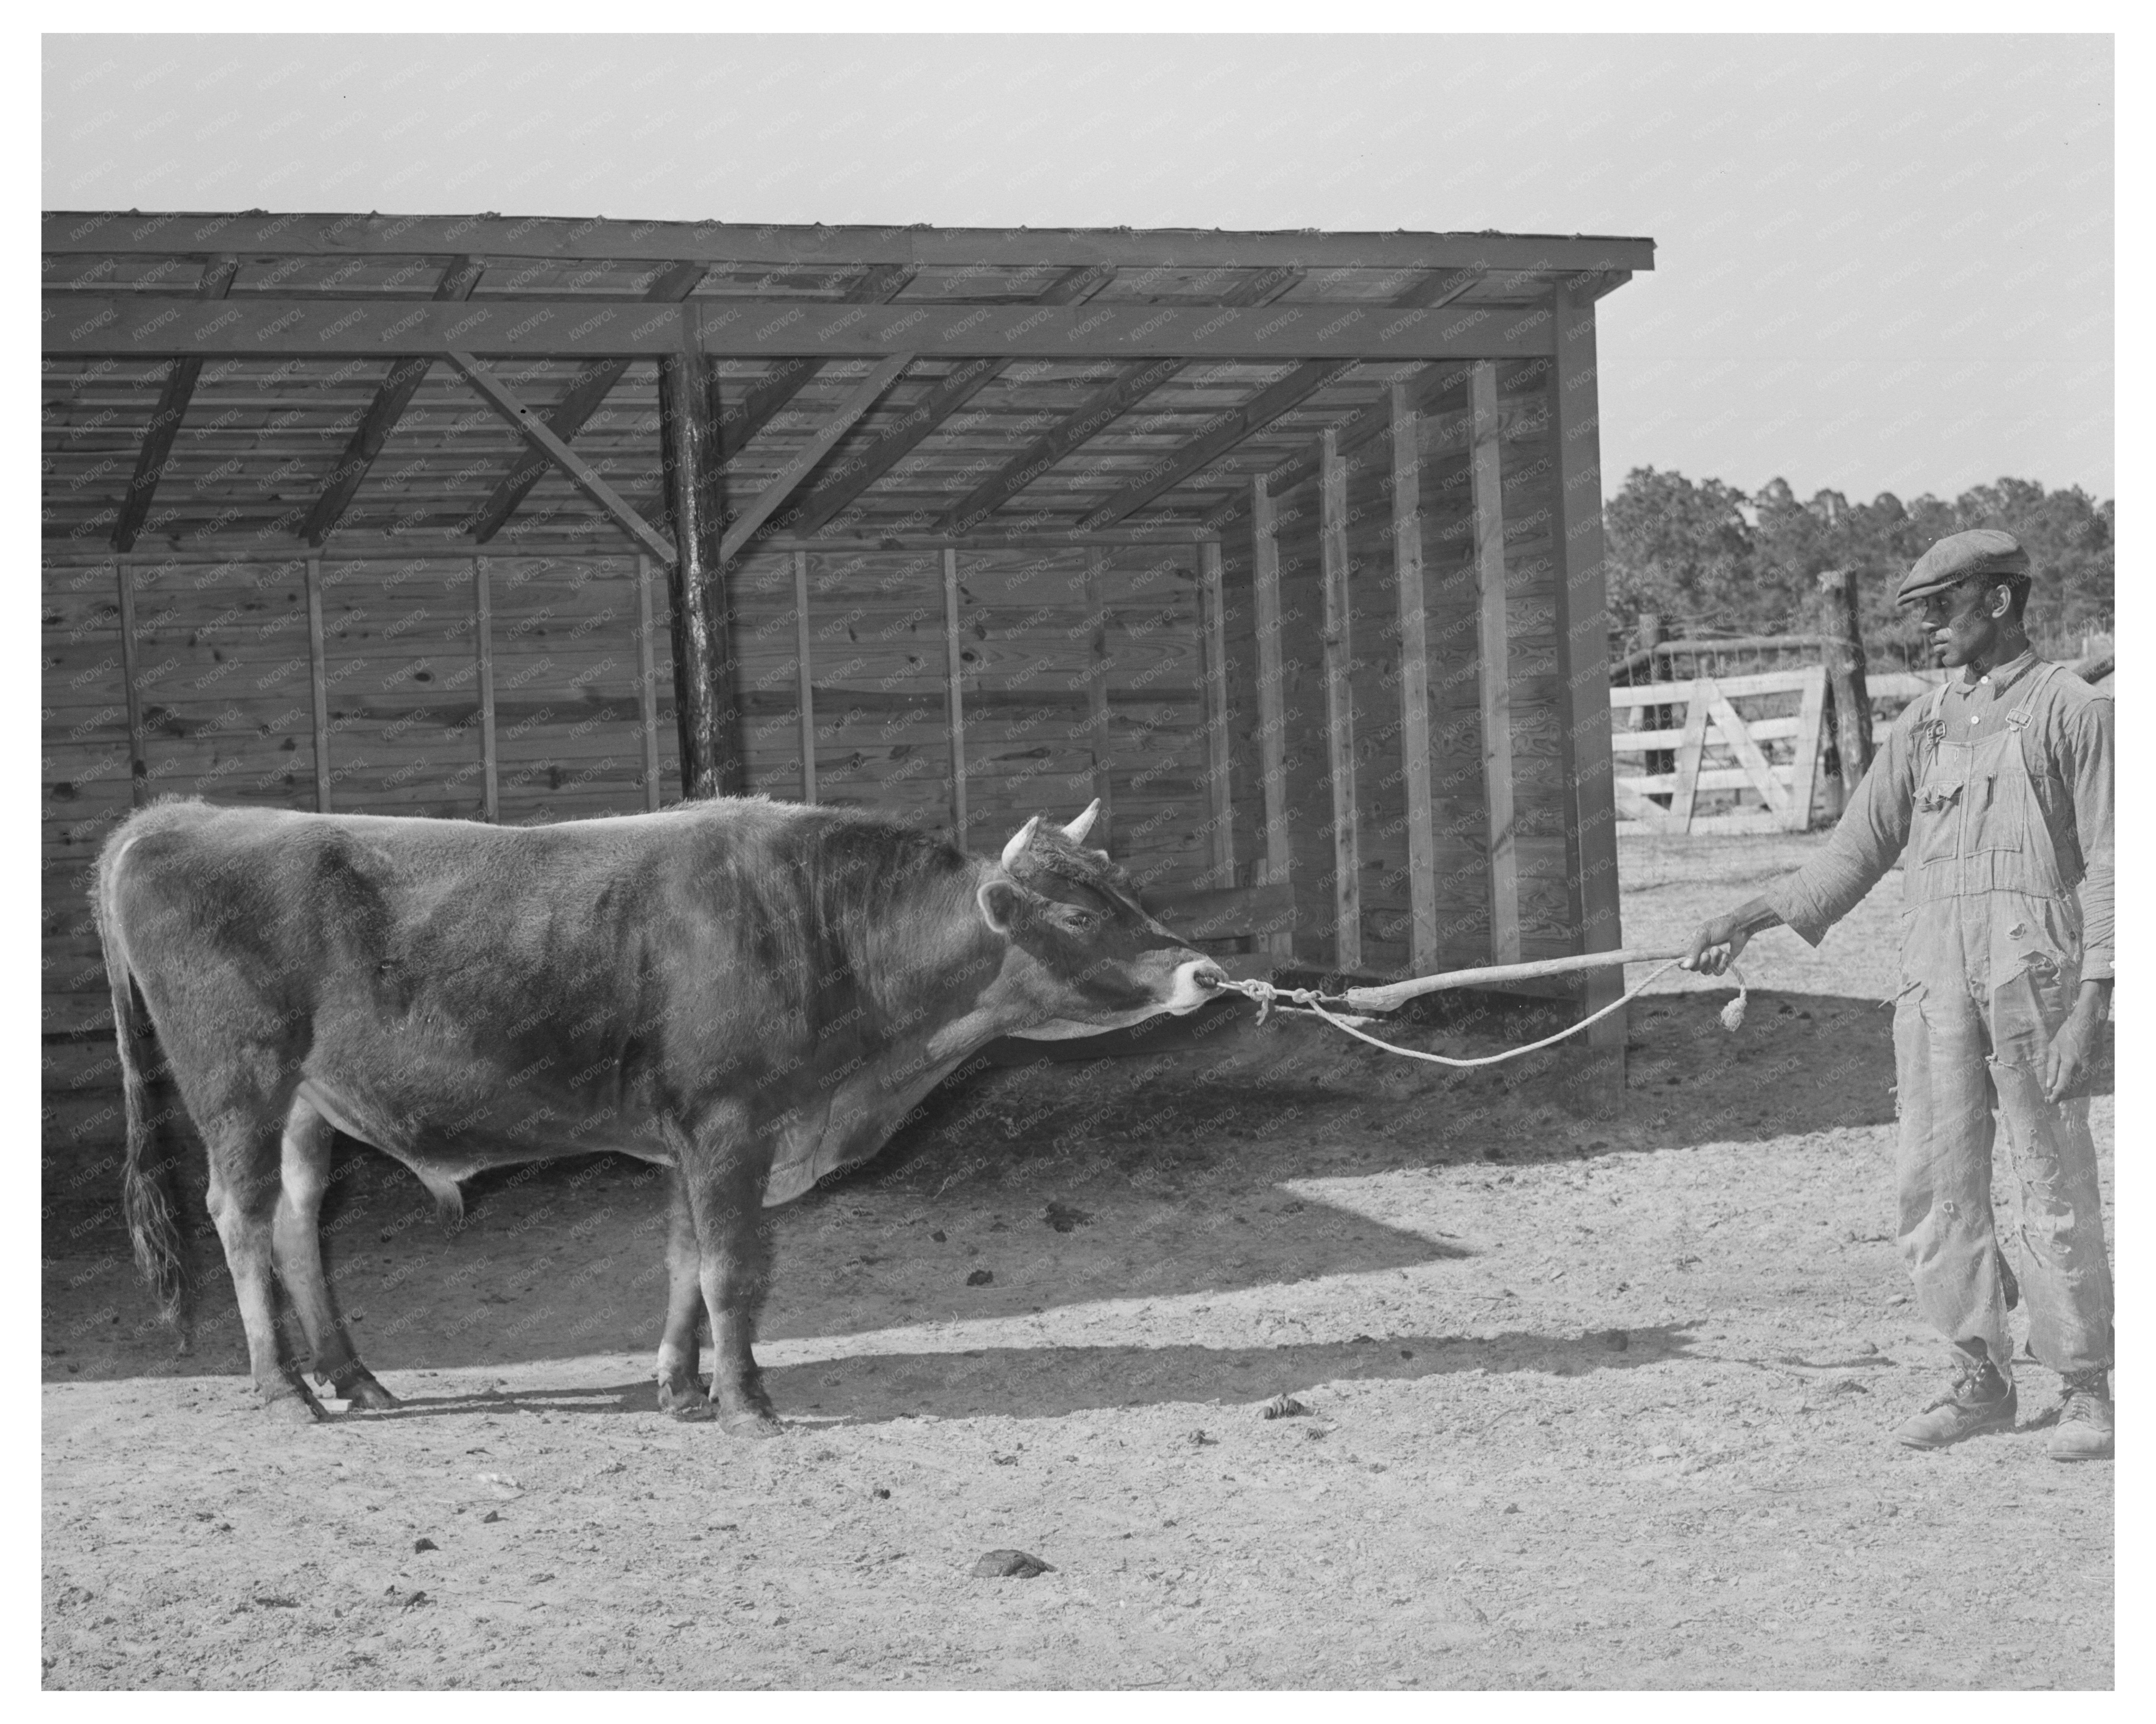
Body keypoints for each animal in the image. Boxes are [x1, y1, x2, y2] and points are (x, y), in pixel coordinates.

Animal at [95, 794, 1224, 1434]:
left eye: (1124, 884)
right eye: (1075, 911)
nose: (1206, 971)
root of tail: (178, 816)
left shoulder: (701, 1135)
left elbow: (685, 1259)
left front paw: (681, 1386)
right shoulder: (727, 1124)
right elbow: (728, 1267)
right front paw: (743, 1401)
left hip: (302, 1098)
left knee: (294, 1215)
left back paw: (351, 1373)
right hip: (238, 1078)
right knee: (238, 1216)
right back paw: (282, 1387)